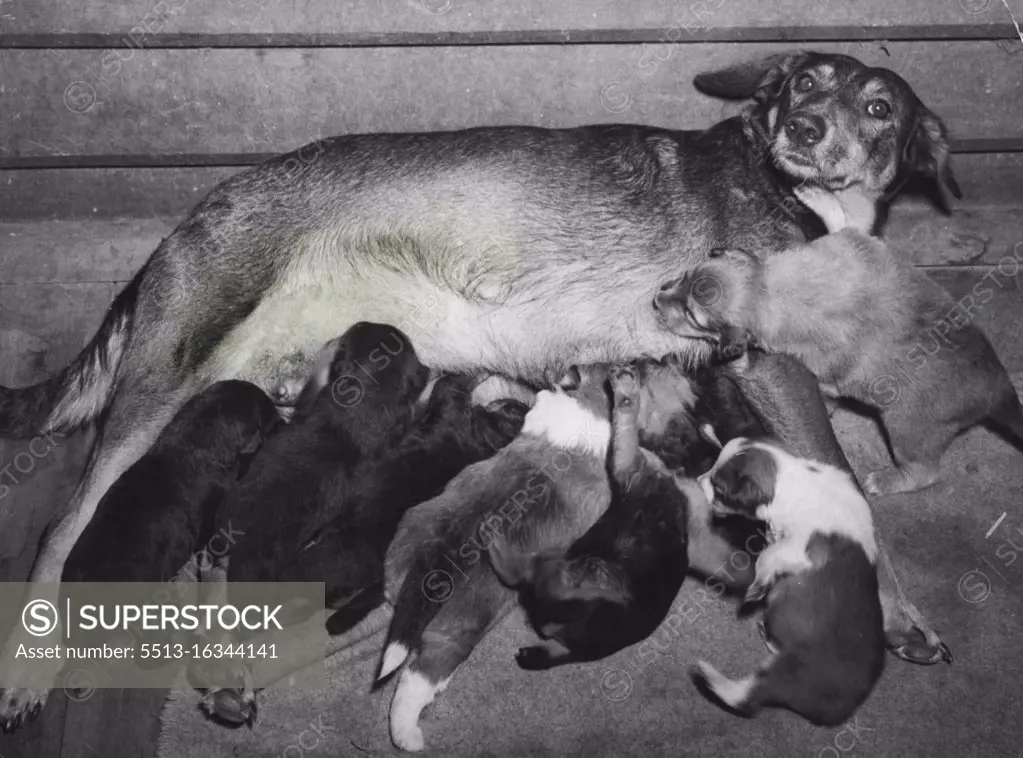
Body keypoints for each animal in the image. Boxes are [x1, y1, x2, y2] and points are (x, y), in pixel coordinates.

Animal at [488, 366, 695, 666]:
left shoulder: (627, 464)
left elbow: (626, 417)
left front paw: (625, 390)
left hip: (564, 566)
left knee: (535, 577)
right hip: (561, 560)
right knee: (533, 578)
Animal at [654, 182, 1023, 491]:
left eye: (691, 316)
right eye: (684, 276)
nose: (655, 300)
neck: (766, 286)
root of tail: (999, 388)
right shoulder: (856, 245)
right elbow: (849, 222)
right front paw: (818, 196)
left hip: (907, 429)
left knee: (925, 472)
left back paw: (885, 481)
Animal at [695, 437, 887, 728]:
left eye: (718, 488)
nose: (697, 480)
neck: (792, 480)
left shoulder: (798, 550)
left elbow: (768, 557)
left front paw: (756, 587)